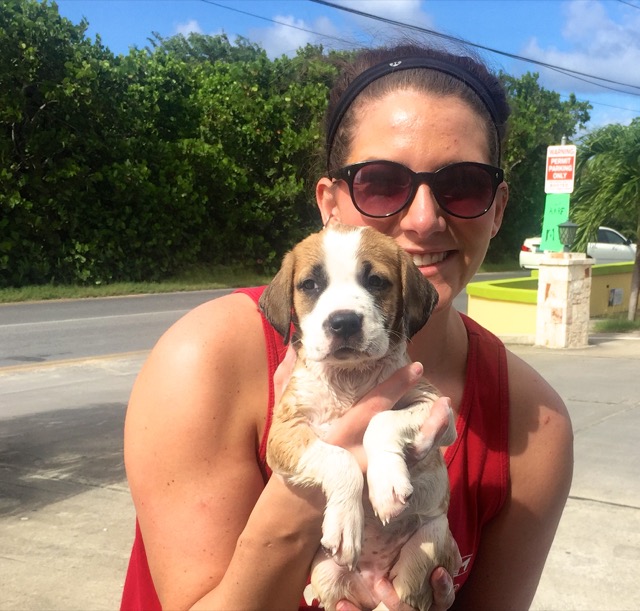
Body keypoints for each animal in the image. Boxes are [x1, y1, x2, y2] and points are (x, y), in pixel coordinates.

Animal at [258, 225, 460, 611]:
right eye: (310, 285)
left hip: (430, 540)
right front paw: (344, 521)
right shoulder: (284, 433)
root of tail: (372, 584)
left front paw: (386, 484)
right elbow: (338, 457)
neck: (350, 377)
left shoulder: (436, 408)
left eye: (376, 281)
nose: (343, 322)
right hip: (326, 572)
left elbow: (381, 420)